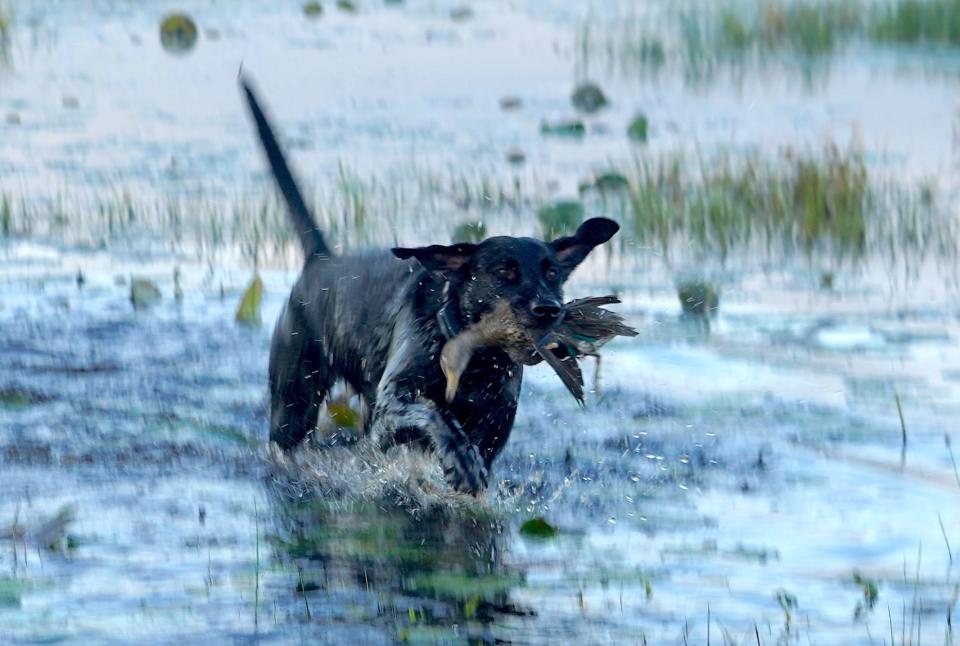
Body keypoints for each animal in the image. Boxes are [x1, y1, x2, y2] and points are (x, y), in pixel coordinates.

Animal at [242, 81, 624, 496]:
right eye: (504, 272)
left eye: (552, 273)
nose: (549, 309)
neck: (476, 363)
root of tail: (321, 260)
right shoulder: (394, 401)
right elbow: (435, 412)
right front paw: (461, 461)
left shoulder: (492, 425)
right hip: (294, 403)